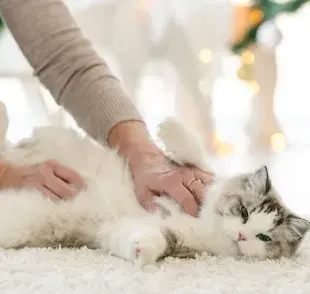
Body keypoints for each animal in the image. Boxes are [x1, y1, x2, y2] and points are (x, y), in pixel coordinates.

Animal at [0, 108, 308, 264]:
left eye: (264, 237)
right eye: (244, 212)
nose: (243, 235)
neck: (209, 225)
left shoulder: (163, 235)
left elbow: (153, 240)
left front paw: (142, 251)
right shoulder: (200, 179)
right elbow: (197, 157)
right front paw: (170, 128)